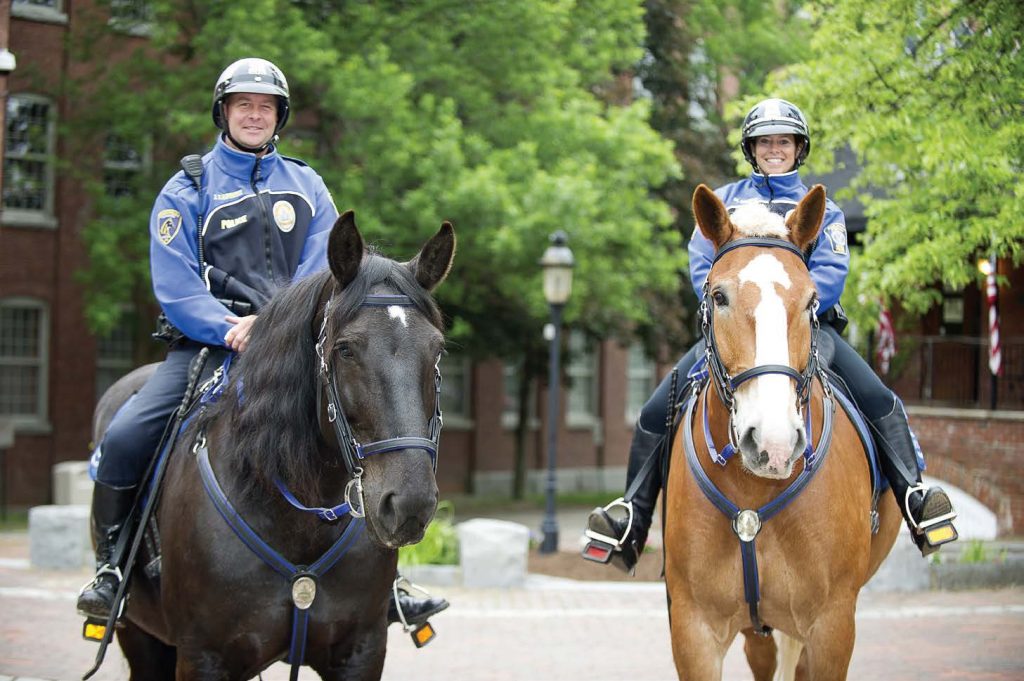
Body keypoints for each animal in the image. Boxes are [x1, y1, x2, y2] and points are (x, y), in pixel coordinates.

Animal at [88, 209, 456, 675]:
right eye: (345, 350)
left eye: (437, 350)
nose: (409, 503)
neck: (299, 520)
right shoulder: (204, 656)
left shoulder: (362, 650)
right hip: (141, 638)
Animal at [663, 183, 897, 675]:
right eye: (719, 296)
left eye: (811, 300)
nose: (773, 444)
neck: (754, 495)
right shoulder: (694, 629)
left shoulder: (832, 627)